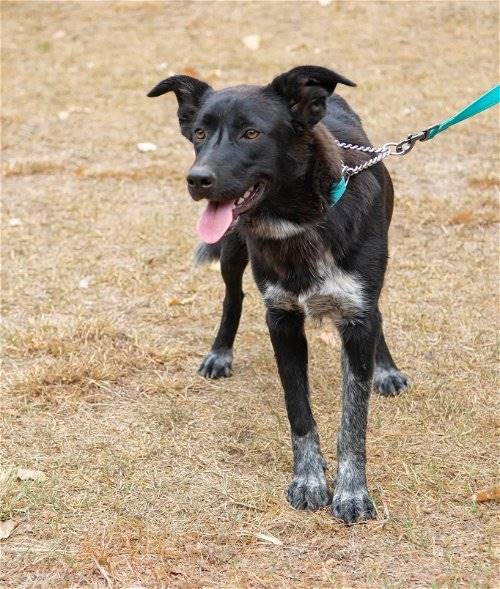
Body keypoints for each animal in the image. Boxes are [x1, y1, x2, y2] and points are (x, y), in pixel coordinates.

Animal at [146, 65, 408, 524]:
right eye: (199, 133)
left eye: (252, 133)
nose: (197, 180)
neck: (301, 221)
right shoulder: (282, 319)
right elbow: (298, 410)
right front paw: (309, 480)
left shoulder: (358, 315)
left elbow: (353, 418)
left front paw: (352, 491)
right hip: (233, 254)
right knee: (232, 298)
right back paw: (220, 352)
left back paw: (385, 367)